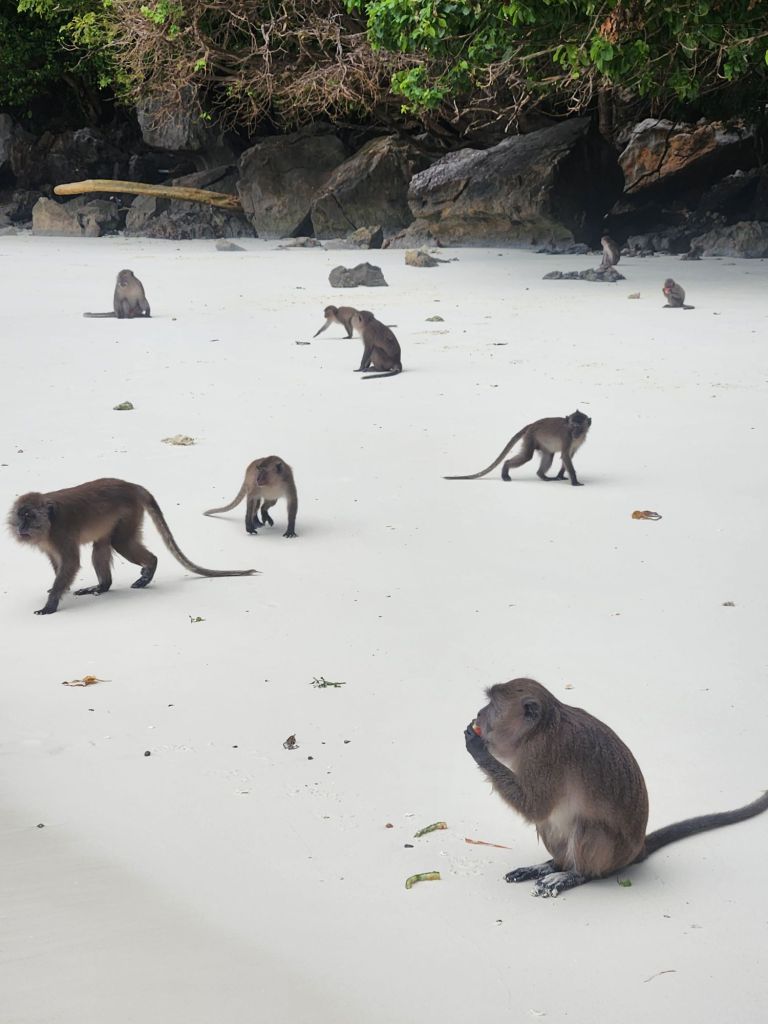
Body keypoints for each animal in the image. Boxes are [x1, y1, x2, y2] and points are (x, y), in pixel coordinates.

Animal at [9, 478, 257, 614]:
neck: (49, 522)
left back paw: (149, 567)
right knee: (102, 545)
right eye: (20, 516)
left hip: (128, 512)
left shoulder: (61, 532)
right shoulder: (50, 541)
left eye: (30, 517)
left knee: (121, 542)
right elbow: (59, 562)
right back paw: (103, 586)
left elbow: (70, 563)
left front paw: (51, 603)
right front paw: (60, 590)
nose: (21, 527)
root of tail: (132, 486)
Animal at [445, 411, 591, 486]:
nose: (575, 433)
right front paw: (575, 481)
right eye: (572, 426)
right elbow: (565, 456)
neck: (574, 436)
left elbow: (568, 457)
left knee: (548, 455)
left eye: (579, 427)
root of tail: (532, 424)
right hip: (531, 437)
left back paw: (542, 475)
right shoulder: (567, 437)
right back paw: (505, 469)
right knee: (527, 456)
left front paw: (560, 475)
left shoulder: (577, 441)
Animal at [465, 678, 768, 898]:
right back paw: (552, 865)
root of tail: (636, 851)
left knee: (587, 826)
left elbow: (535, 807)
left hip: (611, 854)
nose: (478, 714)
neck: (540, 729)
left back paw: (574, 874)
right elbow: (539, 814)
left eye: (492, 705)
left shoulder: (542, 754)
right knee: (551, 825)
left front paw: (477, 749)